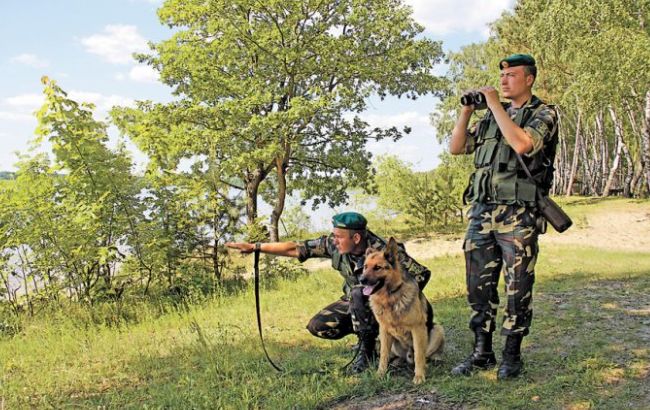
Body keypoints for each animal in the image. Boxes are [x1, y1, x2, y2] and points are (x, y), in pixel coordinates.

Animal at [356, 237, 442, 384]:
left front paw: (419, 376)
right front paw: (380, 373)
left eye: (377, 267)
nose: (361, 280)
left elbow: (419, 355)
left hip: (437, 329)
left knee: (425, 355)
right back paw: (397, 362)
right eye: (365, 267)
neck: (390, 298)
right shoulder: (384, 331)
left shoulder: (418, 329)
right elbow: (383, 355)